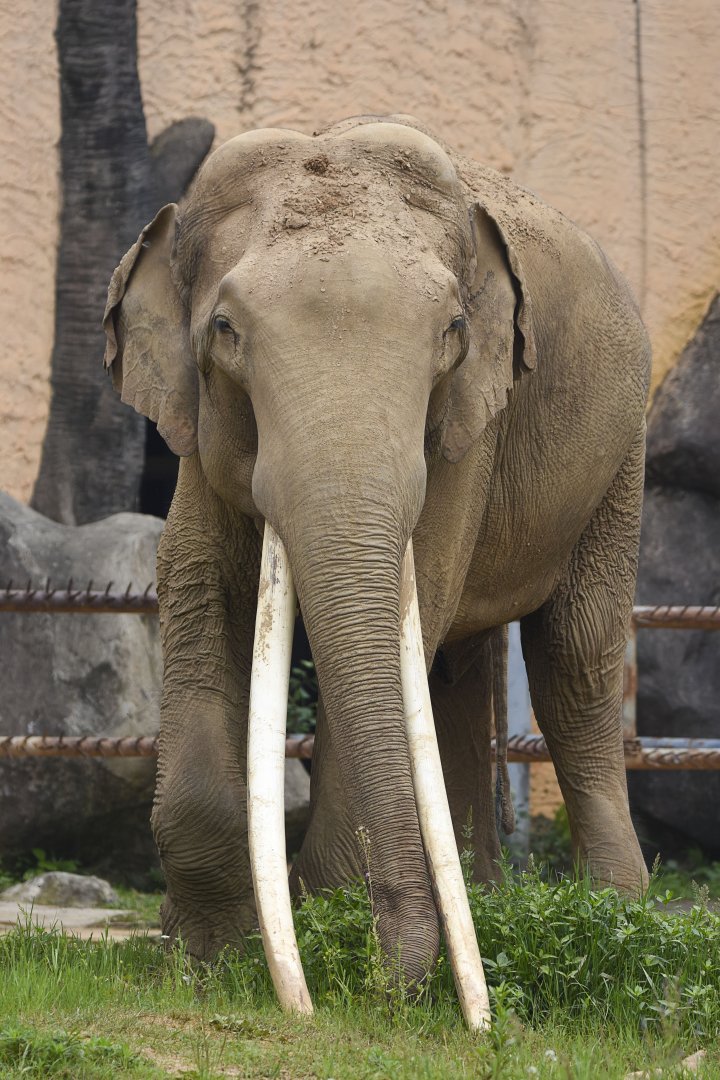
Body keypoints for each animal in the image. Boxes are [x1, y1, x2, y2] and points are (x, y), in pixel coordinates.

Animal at [103, 114, 651, 1013]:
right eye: (225, 331)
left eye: (452, 332)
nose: (400, 988)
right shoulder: (197, 429)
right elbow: (198, 586)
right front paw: (207, 965)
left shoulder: (470, 421)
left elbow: (418, 592)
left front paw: (331, 929)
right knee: (458, 671)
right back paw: (486, 899)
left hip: (621, 453)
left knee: (574, 660)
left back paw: (621, 923)